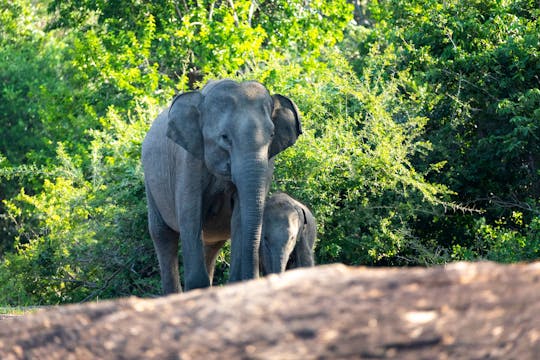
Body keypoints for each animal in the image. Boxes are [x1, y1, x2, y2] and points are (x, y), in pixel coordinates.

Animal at [141, 79, 302, 292]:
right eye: (225, 137)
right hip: (150, 182)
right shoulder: (187, 161)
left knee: (211, 246)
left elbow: (240, 217)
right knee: (163, 235)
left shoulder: (268, 161)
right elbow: (189, 216)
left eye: (272, 135)